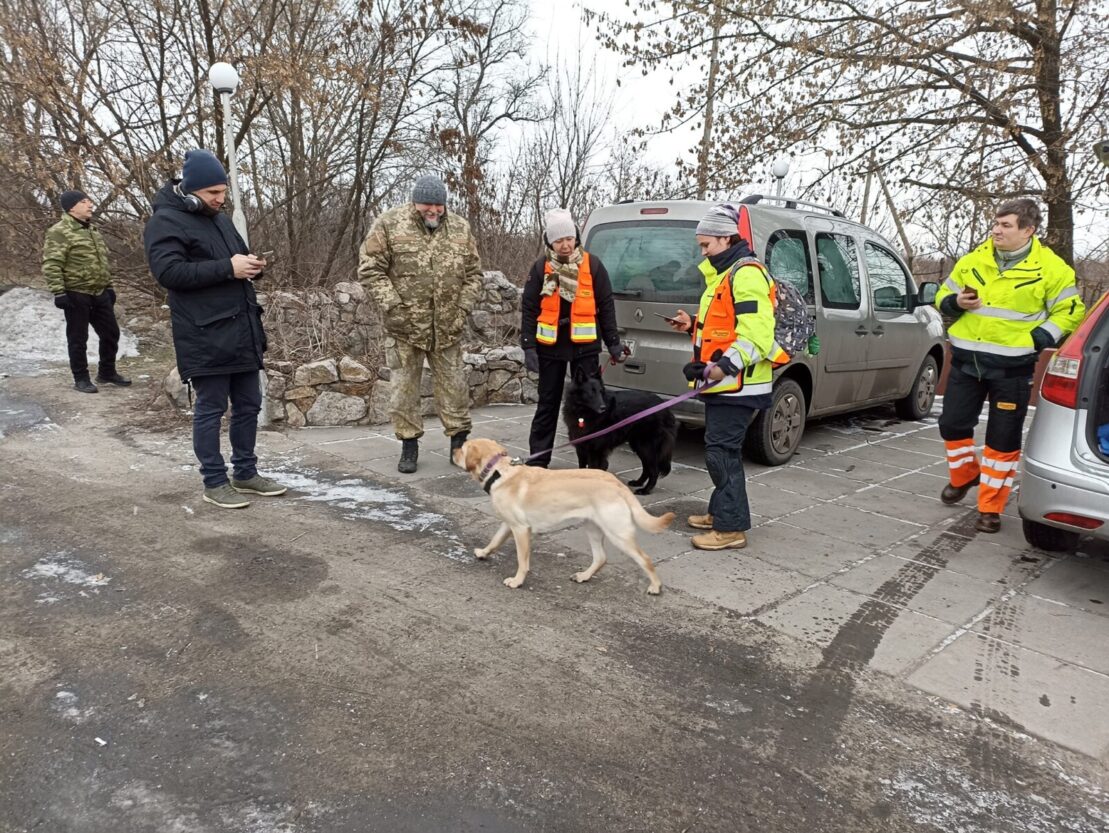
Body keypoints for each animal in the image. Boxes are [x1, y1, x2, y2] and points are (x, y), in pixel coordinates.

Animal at [452, 439, 674, 594]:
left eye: (462, 448)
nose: (453, 451)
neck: (499, 471)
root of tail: (617, 483)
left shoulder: (521, 529)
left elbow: (522, 560)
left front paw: (517, 581)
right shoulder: (509, 524)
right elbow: (495, 540)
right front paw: (483, 553)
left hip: (618, 533)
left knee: (645, 559)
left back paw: (655, 586)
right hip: (592, 527)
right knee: (601, 558)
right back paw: (584, 576)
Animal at [563, 366, 674, 494]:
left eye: (600, 391)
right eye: (591, 392)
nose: (603, 408)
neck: (583, 412)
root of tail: (665, 407)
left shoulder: (595, 451)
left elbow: (593, 469)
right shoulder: (581, 448)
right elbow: (582, 468)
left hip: (645, 446)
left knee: (654, 470)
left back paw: (645, 490)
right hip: (638, 445)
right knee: (647, 468)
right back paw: (638, 482)